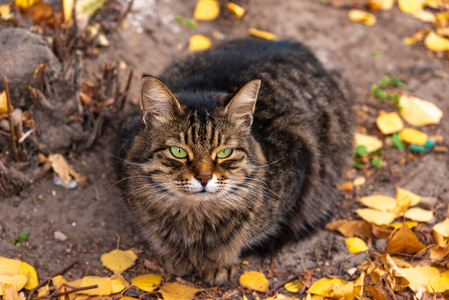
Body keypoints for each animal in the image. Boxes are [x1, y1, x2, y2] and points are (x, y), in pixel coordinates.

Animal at [114, 38, 352, 284]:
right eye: (178, 151)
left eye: (224, 152)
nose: (204, 178)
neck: (195, 217)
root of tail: (298, 46)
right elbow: (156, 233)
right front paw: (175, 257)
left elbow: (235, 242)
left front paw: (219, 264)